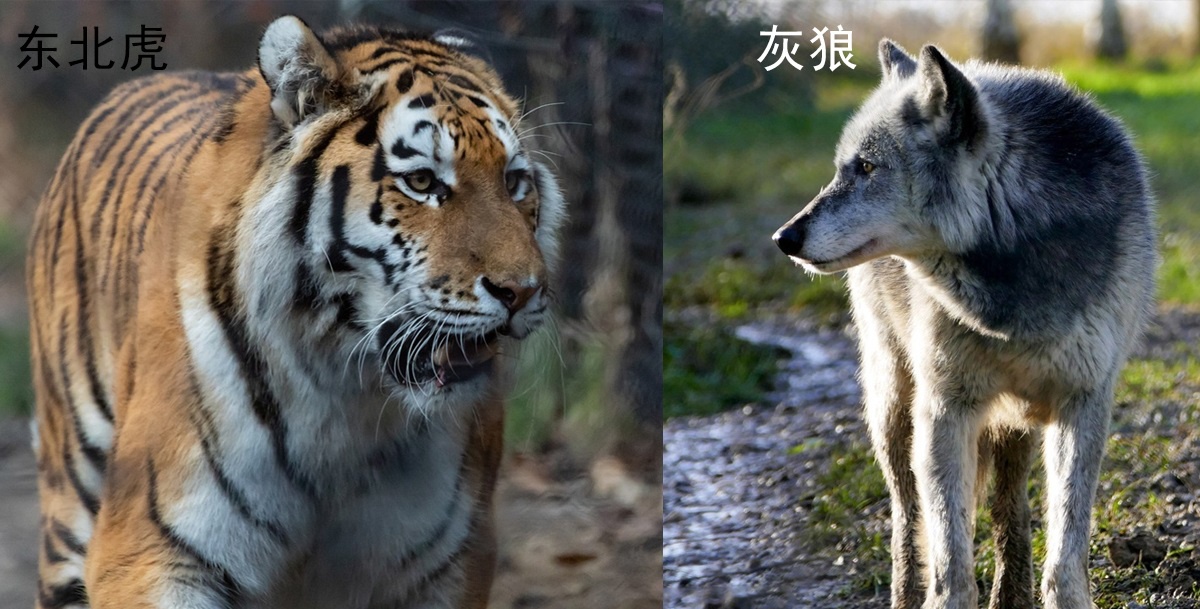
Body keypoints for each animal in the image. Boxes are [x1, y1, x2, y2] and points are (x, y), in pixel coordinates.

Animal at [25, 15, 564, 609]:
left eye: (514, 181)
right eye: (422, 182)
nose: (523, 291)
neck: (349, 396)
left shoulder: (451, 560)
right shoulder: (153, 551)